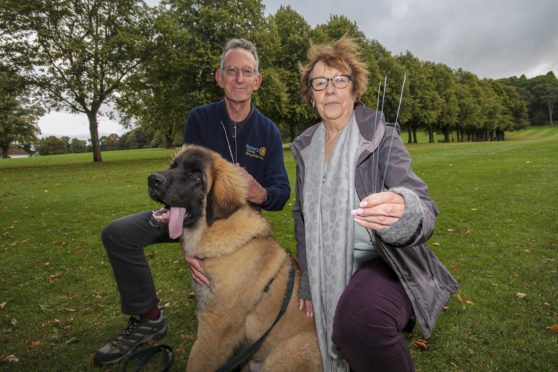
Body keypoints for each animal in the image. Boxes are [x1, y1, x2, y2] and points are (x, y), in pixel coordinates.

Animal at [149, 145, 324, 372]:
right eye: (174, 166)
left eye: (196, 176)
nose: (152, 179)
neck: (215, 229)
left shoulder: (215, 326)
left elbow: (198, 361)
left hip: (289, 352)